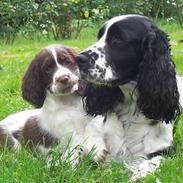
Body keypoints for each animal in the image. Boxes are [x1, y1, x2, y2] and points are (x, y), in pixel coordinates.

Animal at [76, 15, 183, 180]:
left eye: (117, 40)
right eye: (99, 37)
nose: (78, 59)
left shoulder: (166, 150)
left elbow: (152, 161)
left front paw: (138, 175)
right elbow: (85, 147)